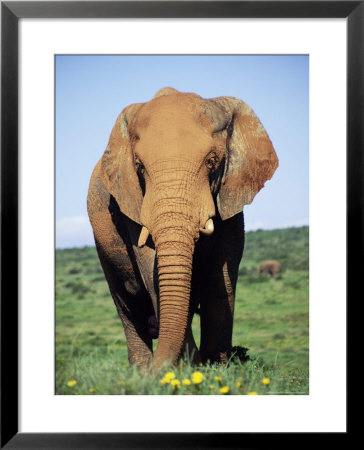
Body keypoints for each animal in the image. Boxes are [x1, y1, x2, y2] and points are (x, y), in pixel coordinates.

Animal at [87, 87, 278, 370]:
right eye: (139, 166)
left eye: (212, 161)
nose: (158, 370)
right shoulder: (131, 201)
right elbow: (150, 269)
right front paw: (190, 369)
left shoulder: (231, 196)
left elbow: (221, 277)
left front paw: (216, 369)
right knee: (127, 307)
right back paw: (141, 371)